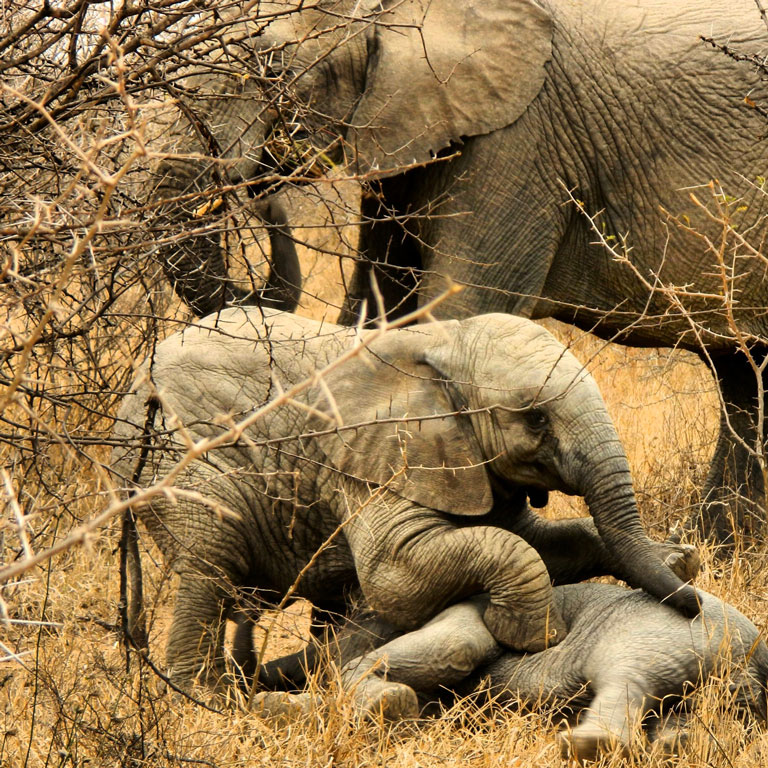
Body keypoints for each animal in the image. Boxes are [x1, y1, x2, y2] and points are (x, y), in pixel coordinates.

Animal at [110, 308, 698, 690]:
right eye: (535, 418)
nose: (692, 606)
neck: (443, 344)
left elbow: (541, 540)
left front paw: (676, 561)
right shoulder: (374, 458)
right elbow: (396, 578)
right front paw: (532, 634)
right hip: (180, 464)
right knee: (210, 564)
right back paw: (204, 696)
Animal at [149, 0, 768, 542]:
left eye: (273, 70)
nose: (261, 197)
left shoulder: (517, 140)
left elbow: (460, 311)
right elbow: (374, 311)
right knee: (743, 373)